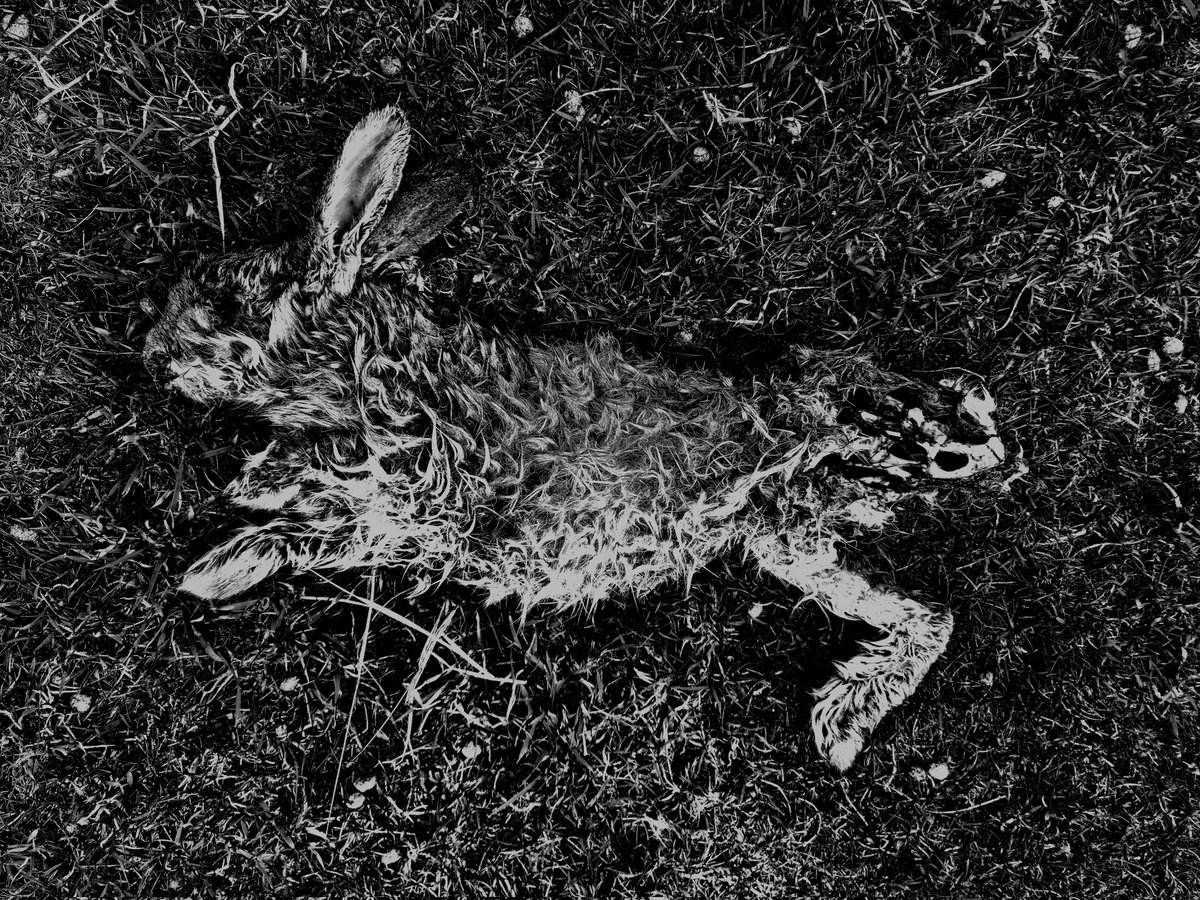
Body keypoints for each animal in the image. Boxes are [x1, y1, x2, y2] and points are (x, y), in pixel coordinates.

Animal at [143, 107, 1010, 770]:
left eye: (222, 300)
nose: (154, 352)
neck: (345, 362)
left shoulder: (409, 444)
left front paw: (231, 529)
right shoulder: (385, 519)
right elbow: (304, 528)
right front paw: (227, 552)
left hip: (820, 439)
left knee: (891, 437)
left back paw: (955, 436)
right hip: (779, 533)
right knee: (925, 611)